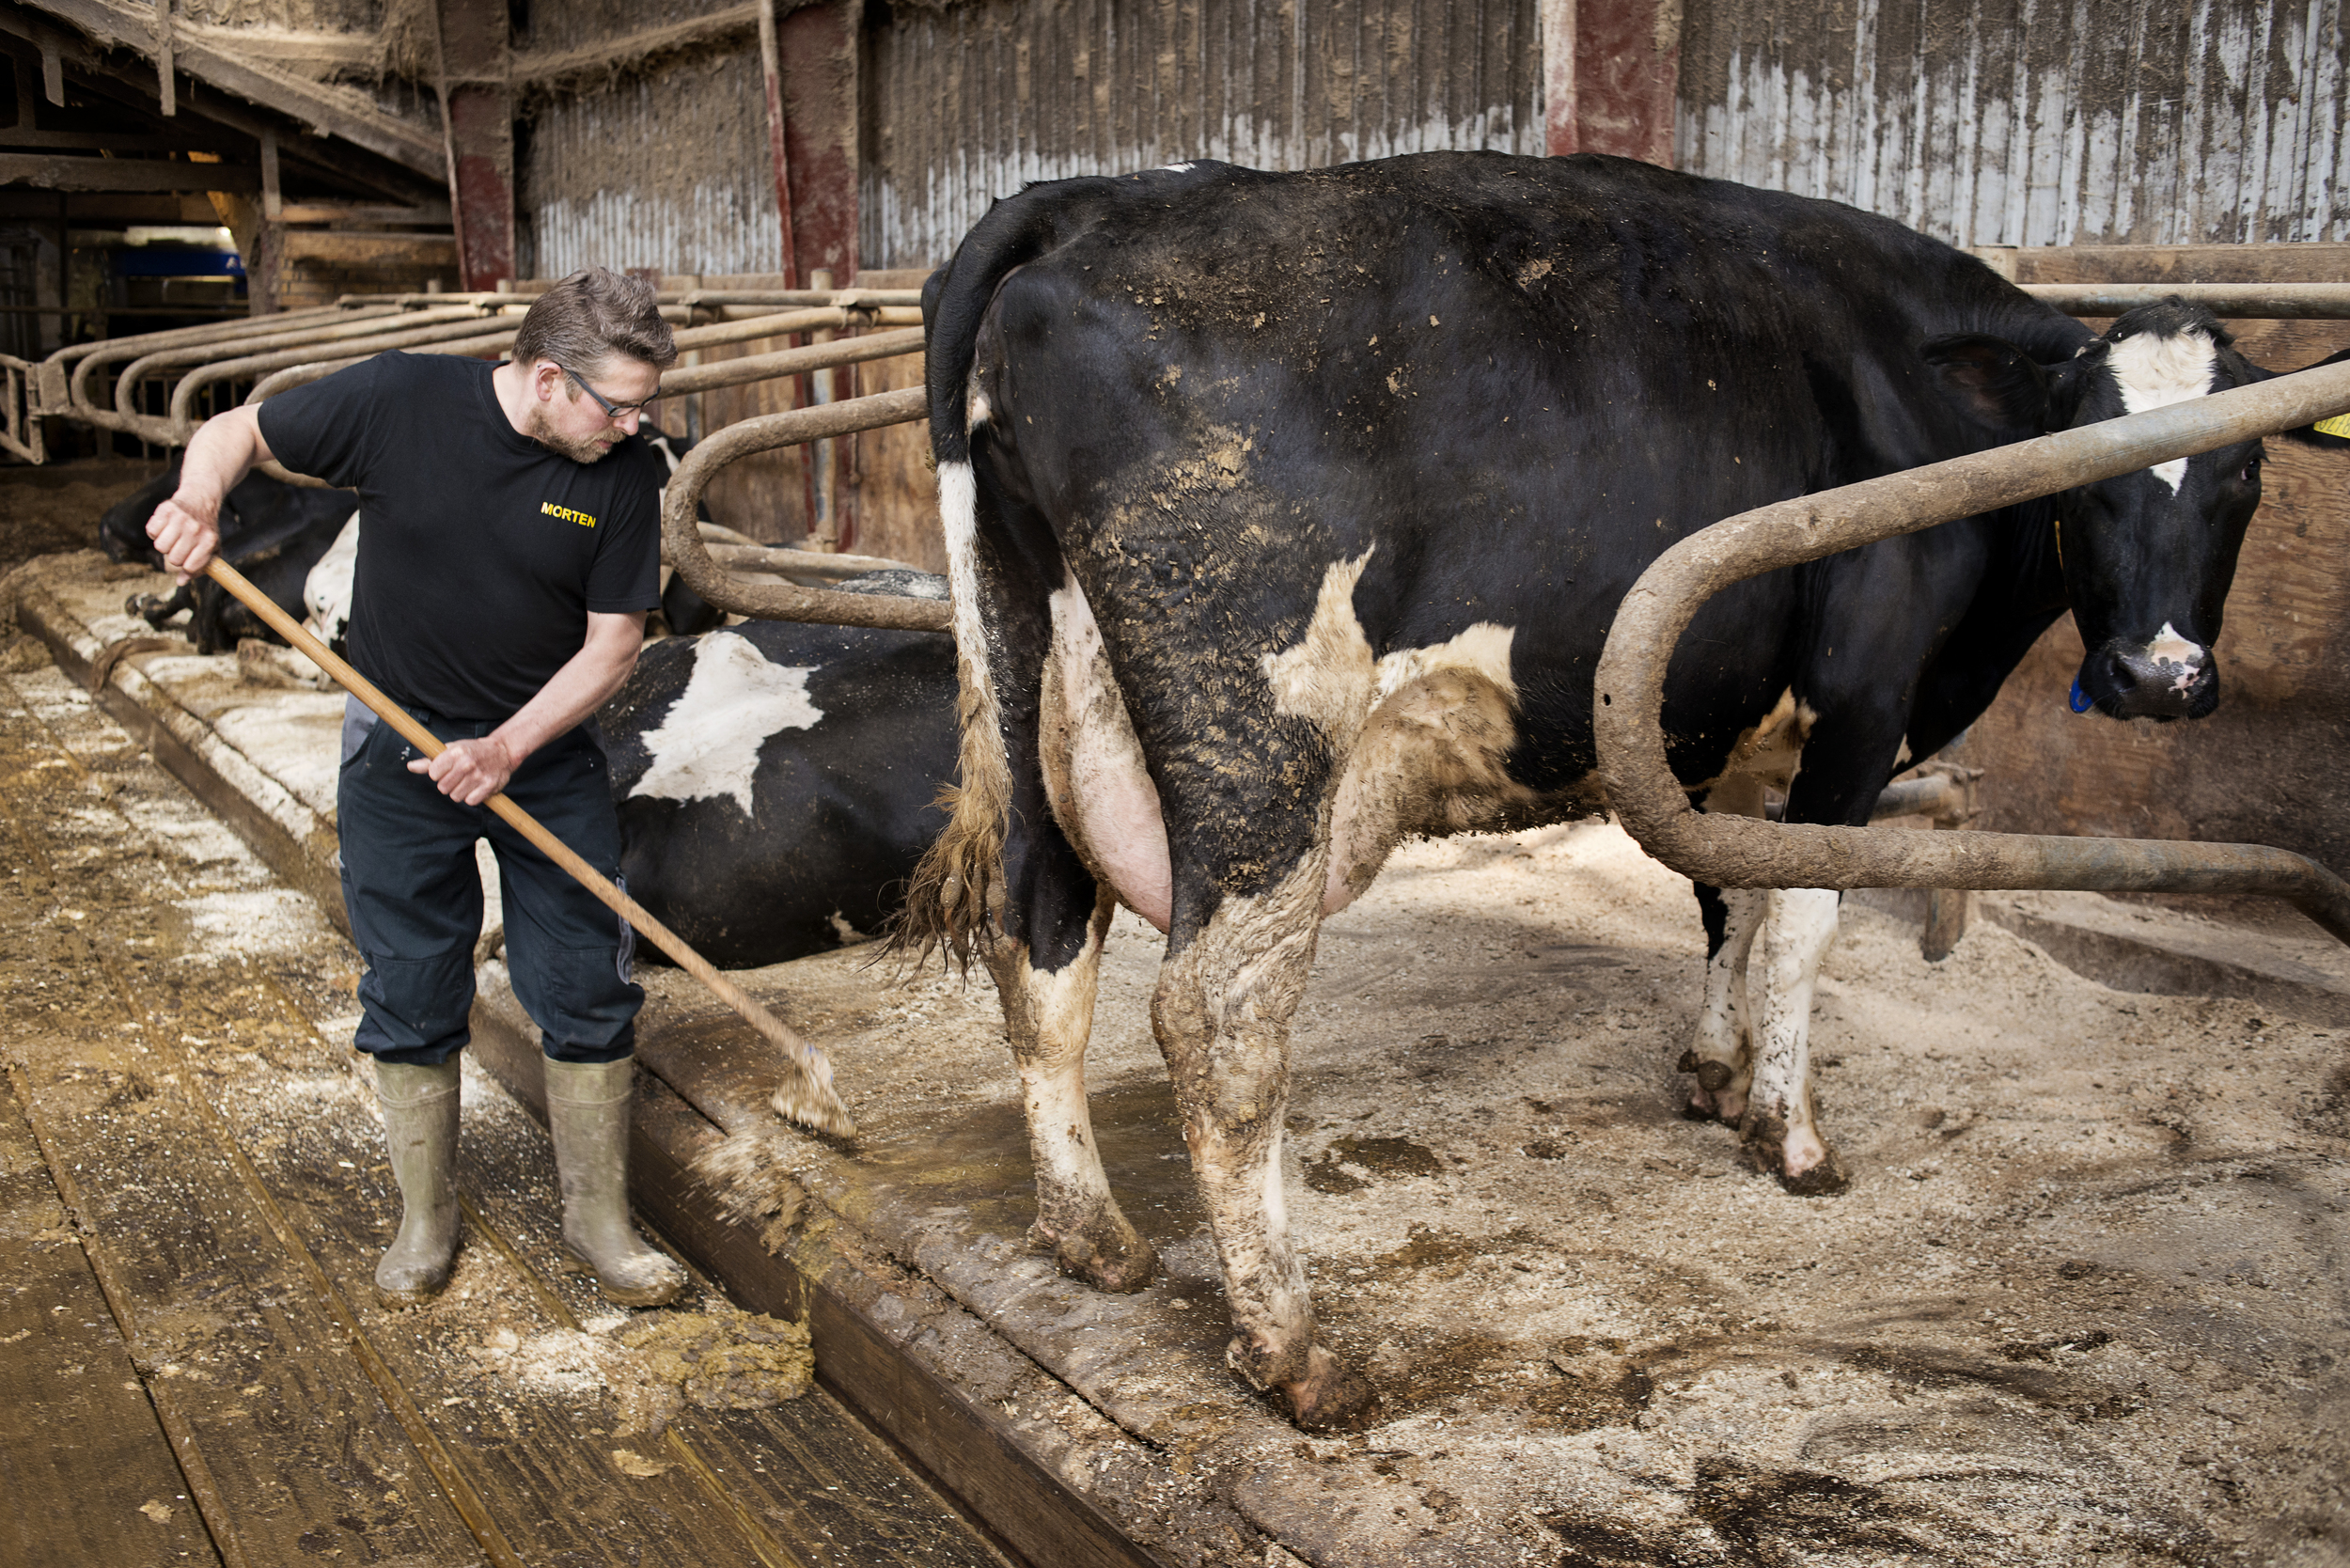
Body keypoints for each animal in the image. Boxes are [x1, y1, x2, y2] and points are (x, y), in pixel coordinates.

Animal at [898, 150, 2350, 1438]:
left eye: (2244, 473)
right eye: (2091, 474)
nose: (2160, 676)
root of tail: (1091, 201)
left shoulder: (1722, 725)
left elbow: (1728, 903)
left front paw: (1712, 1070)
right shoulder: (1861, 705)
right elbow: (1803, 925)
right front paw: (1792, 1137)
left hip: (1040, 692)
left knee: (1040, 941)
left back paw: (1091, 1237)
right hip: (1258, 737)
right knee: (1218, 1012)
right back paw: (1296, 1350)